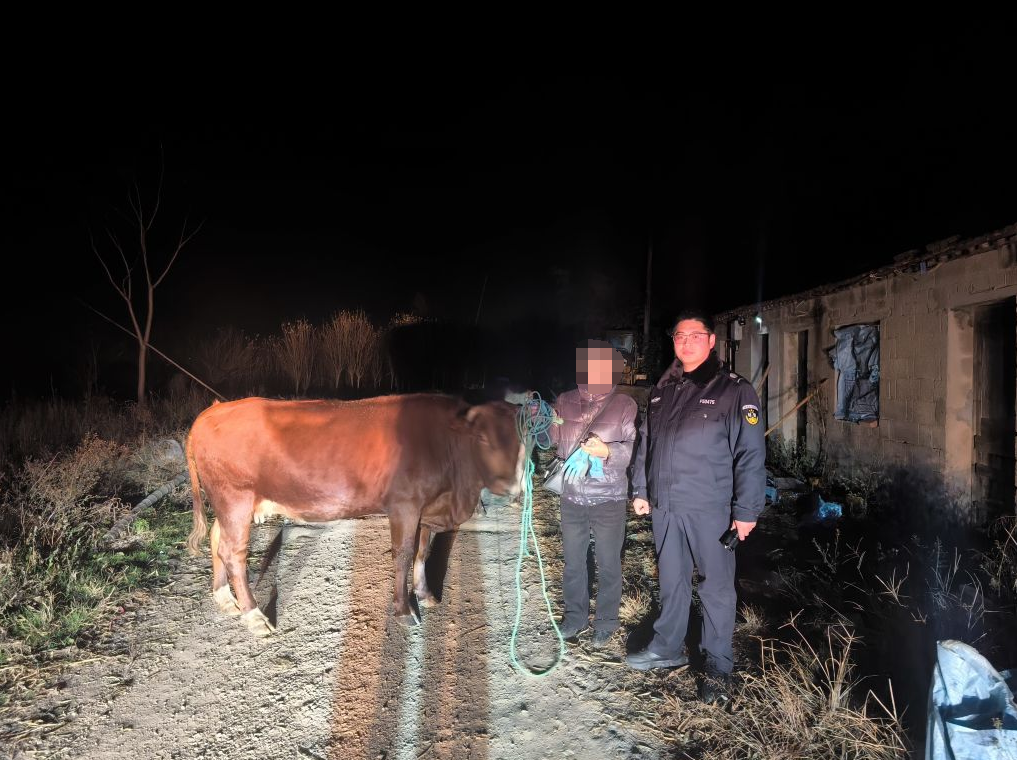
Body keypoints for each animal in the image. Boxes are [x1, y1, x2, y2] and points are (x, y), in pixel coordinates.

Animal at [185, 394, 524, 635]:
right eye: (482, 439)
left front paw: (425, 594)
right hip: (235, 498)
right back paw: (254, 616)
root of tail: (212, 411)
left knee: (217, 539)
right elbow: (404, 554)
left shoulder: (428, 508)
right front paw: (404, 611)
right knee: (233, 553)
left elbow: (422, 552)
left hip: (229, 504)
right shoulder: (404, 505)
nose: (512, 487)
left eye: (522, 440)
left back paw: (225, 598)